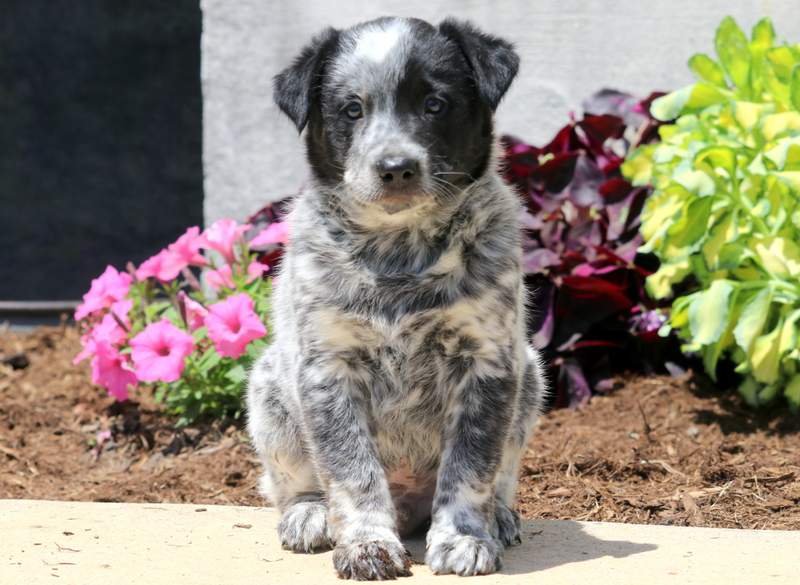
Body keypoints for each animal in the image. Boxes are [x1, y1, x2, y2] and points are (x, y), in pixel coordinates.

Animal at [247, 16, 548, 576]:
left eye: (434, 103)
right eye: (352, 109)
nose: (395, 167)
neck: (399, 253)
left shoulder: (488, 363)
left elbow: (470, 467)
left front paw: (463, 538)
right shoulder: (328, 370)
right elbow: (352, 471)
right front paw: (367, 544)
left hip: (531, 376)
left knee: (500, 475)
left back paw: (499, 516)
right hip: (270, 388)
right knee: (293, 484)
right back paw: (308, 515)